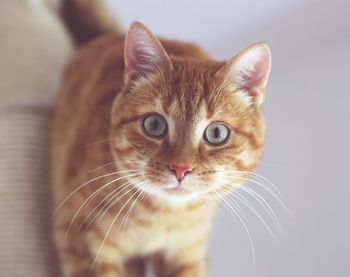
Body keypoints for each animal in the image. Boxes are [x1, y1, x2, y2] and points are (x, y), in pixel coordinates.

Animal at [51, 1, 270, 274]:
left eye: (217, 133)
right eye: (154, 125)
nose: (181, 169)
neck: (163, 218)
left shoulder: (188, 253)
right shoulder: (80, 237)